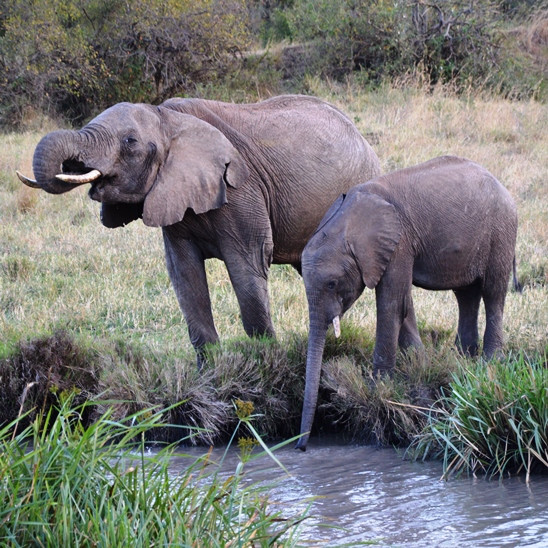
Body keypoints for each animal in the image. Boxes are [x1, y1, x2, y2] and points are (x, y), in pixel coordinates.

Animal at [16, 96, 376, 366]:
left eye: (130, 142)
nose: (71, 164)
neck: (168, 119)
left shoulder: (241, 191)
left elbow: (246, 270)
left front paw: (266, 361)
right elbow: (184, 274)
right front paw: (210, 372)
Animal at [296, 154, 520, 450]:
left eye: (332, 284)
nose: (301, 447)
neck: (347, 221)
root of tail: (502, 186)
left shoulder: (398, 242)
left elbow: (391, 303)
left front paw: (379, 389)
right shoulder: (396, 247)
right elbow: (404, 304)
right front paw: (421, 365)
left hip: (501, 230)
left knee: (493, 292)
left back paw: (489, 364)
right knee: (466, 295)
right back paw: (463, 360)